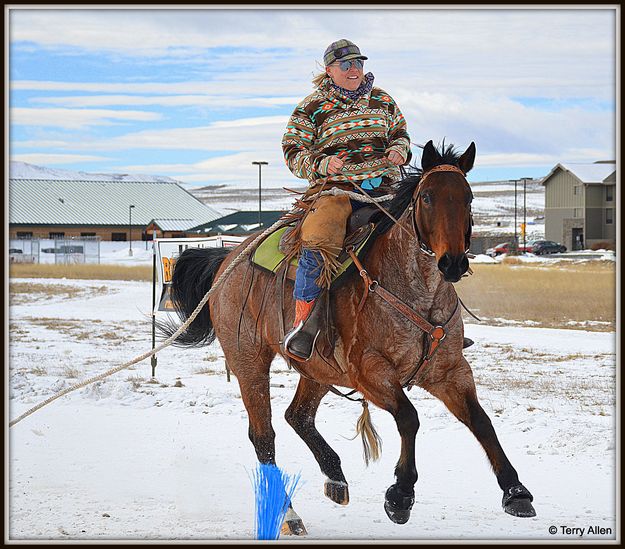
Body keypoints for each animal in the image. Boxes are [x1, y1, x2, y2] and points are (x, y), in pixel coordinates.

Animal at [162, 140, 536, 532]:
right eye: (427, 197)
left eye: (468, 197)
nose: (452, 262)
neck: (418, 293)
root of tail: (228, 258)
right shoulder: (369, 371)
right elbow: (409, 418)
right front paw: (400, 495)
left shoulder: (450, 372)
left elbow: (481, 421)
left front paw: (516, 491)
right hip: (249, 360)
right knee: (264, 437)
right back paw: (289, 514)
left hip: (318, 369)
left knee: (298, 416)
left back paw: (335, 478)